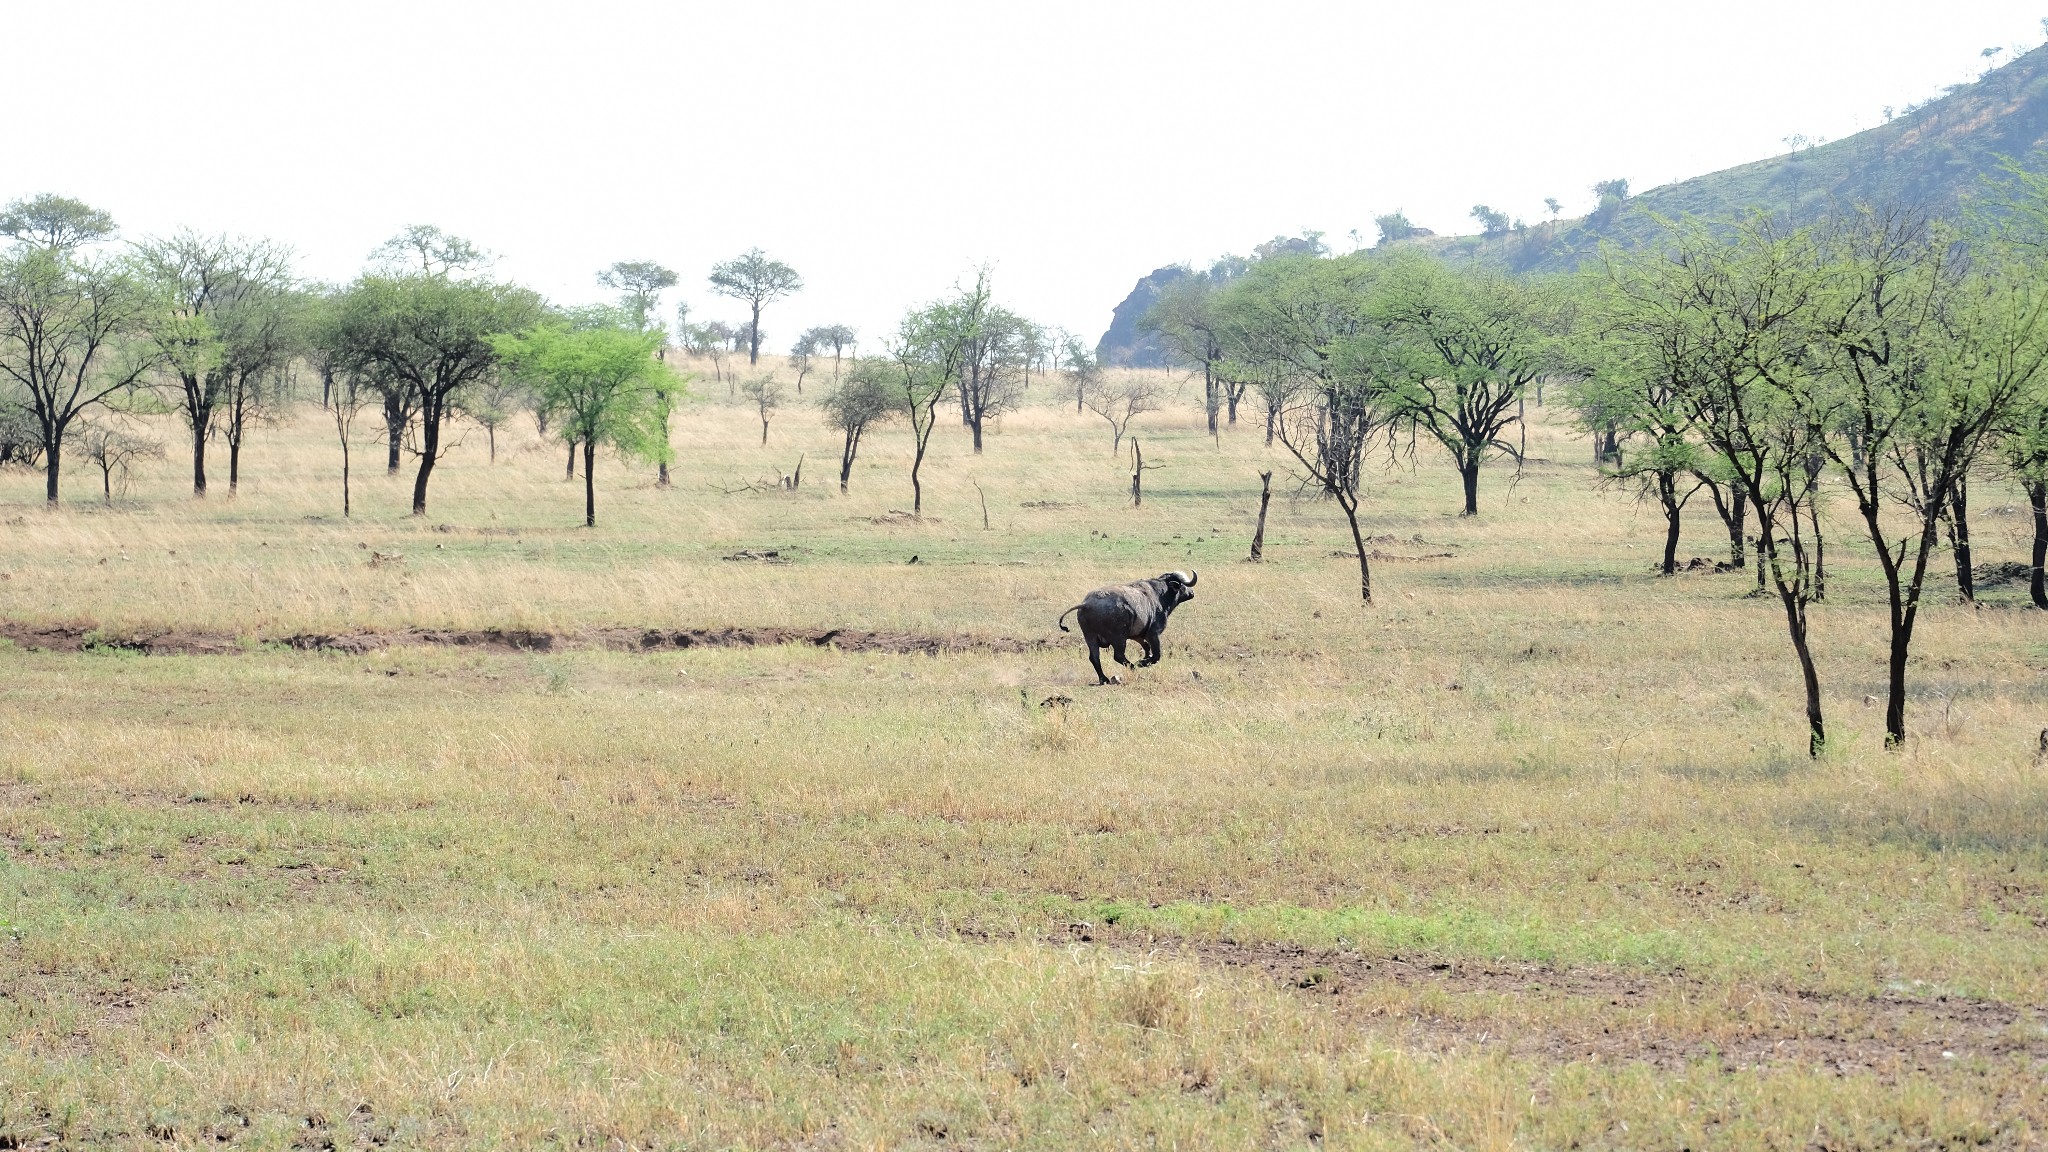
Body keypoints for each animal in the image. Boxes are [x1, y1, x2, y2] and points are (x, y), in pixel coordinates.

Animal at [1064, 565, 1196, 680]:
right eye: (1183, 585)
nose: (1192, 593)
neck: (1160, 596)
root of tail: (1087, 604)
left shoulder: (1138, 636)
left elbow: (1147, 648)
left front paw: (1144, 658)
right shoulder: (1153, 634)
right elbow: (1156, 656)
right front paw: (1141, 662)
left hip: (1090, 637)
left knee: (1094, 658)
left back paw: (1104, 678)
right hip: (1119, 639)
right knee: (1118, 656)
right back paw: (1133, 668)